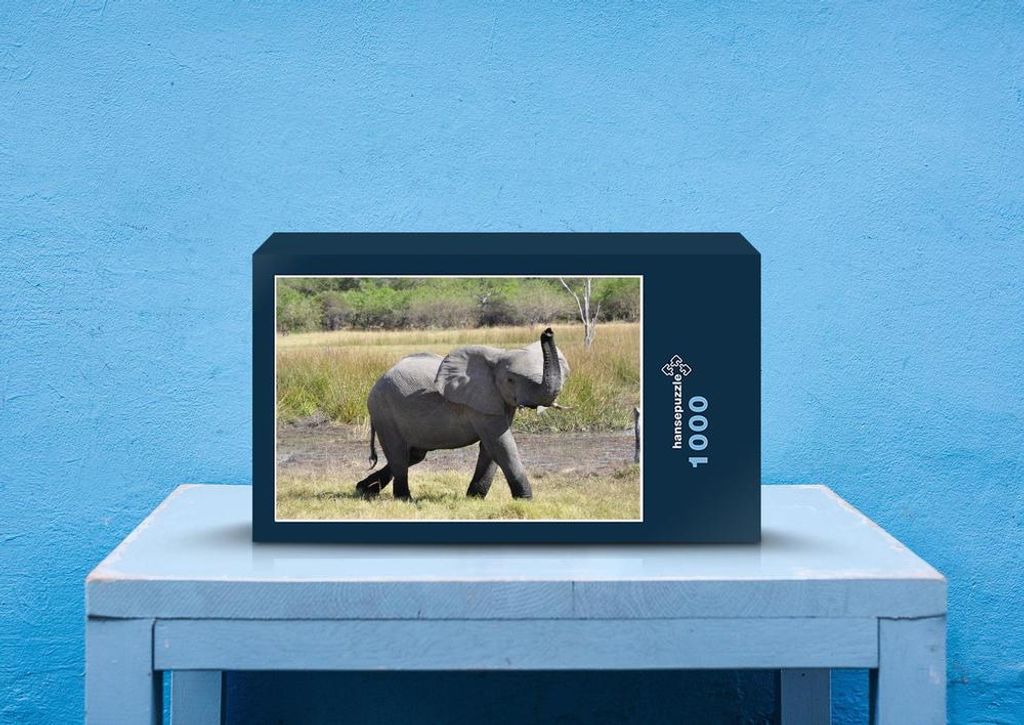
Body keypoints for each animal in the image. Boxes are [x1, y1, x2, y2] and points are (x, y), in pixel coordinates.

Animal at [354, 328, 569, 501]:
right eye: (510, 380)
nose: (548, 332)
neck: (498, 355)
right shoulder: (479, 404)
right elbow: (501, 445)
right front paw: (525, 500)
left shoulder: (499, 402)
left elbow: (491, 447)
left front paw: (474, 498)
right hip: (384, 412)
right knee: (399, 454)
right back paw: (404, 499)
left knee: (414, 455)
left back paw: (364, 489)